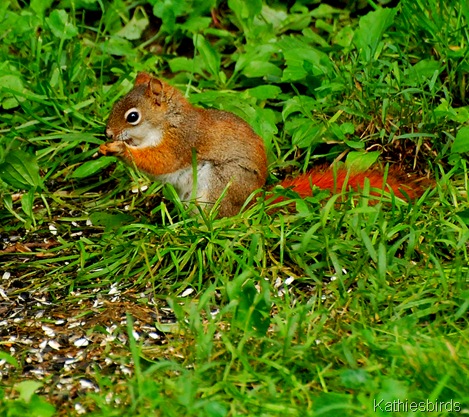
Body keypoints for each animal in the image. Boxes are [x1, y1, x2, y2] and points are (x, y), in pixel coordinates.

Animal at [100, 72, 424, 217]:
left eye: (132, 116)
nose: (108, 133)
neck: (167, 121)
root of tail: (253, 202)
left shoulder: (183, 141)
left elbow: (161, 160)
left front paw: (121, 151)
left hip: (219, 183)